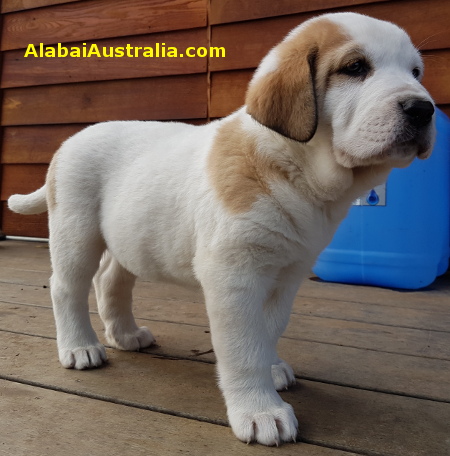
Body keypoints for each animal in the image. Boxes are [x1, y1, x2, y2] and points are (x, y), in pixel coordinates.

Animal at [7, 12, 436, 448]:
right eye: (355, 68)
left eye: (416, 72)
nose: (424, 109)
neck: (294, 171)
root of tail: (69, 142)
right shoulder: (235, 274)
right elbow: (243, 348)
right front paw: (260, 411)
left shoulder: (287, 275)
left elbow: (268, 330)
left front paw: (271, 368)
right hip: (75, 230)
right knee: (67, 287)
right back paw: (80, 347)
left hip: (128, 236)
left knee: (110, 280)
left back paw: (125, 335)